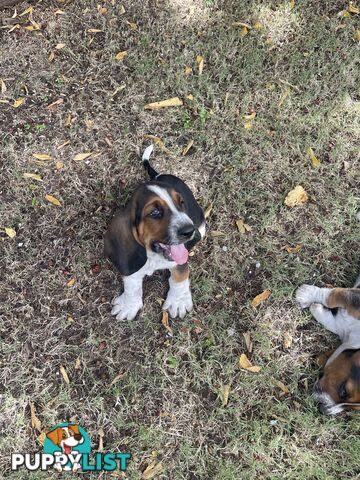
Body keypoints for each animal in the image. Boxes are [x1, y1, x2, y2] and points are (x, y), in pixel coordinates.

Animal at [104, 144, 205, 320]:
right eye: (155, 212)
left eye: (181, 203)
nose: (189, 231)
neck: (154, 256)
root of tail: (159, 175)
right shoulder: (132, 267)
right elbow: (132, 286)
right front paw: (129, 305)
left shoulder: (179, 261)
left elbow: (179, 278)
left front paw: (178, 301)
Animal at [296, 274, 360, 416]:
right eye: (343, 391)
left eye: (354, 408)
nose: (323, 411)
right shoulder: (356, 298)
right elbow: (333, 295)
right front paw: (306, 294)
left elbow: (335, 323)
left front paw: (317, 308)